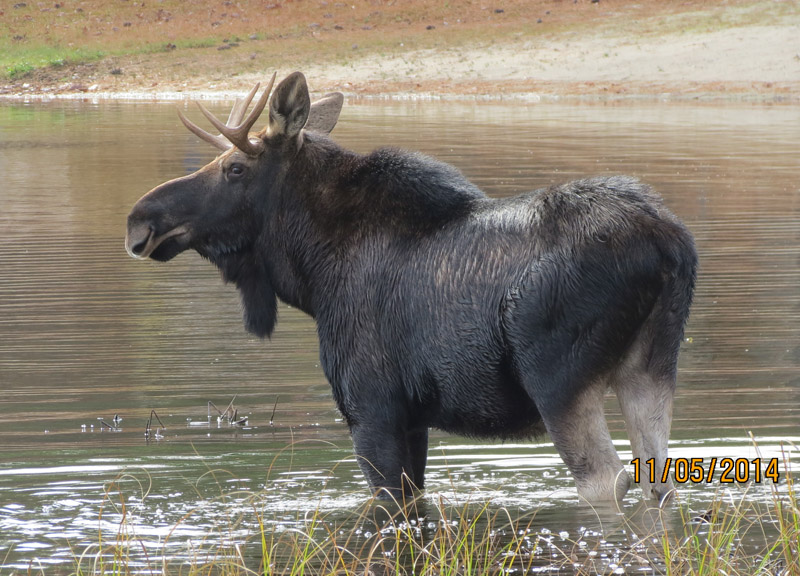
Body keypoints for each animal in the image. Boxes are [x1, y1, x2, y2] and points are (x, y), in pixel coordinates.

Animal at [125, 72, 692, 504]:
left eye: (235, 168)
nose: (139, 220)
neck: (312, 273)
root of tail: (669, 245)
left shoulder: (371, 409)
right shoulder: (414, 419)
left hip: (558, 380)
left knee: (607, 482)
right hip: (651, 366)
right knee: (658, 478)